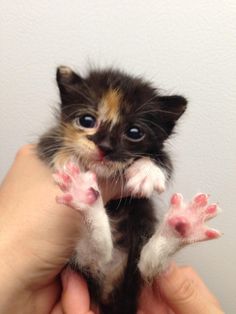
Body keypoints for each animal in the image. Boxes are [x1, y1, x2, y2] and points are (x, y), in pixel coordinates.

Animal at [37, 66, 221, 314]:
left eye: (134, 132)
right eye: (86, 120)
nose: (104, 146)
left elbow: (163, 159)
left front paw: (147, 172)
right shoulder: (45, 139)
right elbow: (49, 143)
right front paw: (66, 158)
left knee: (146, 266)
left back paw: (182, 226)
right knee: (97, 255)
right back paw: (86, 197)